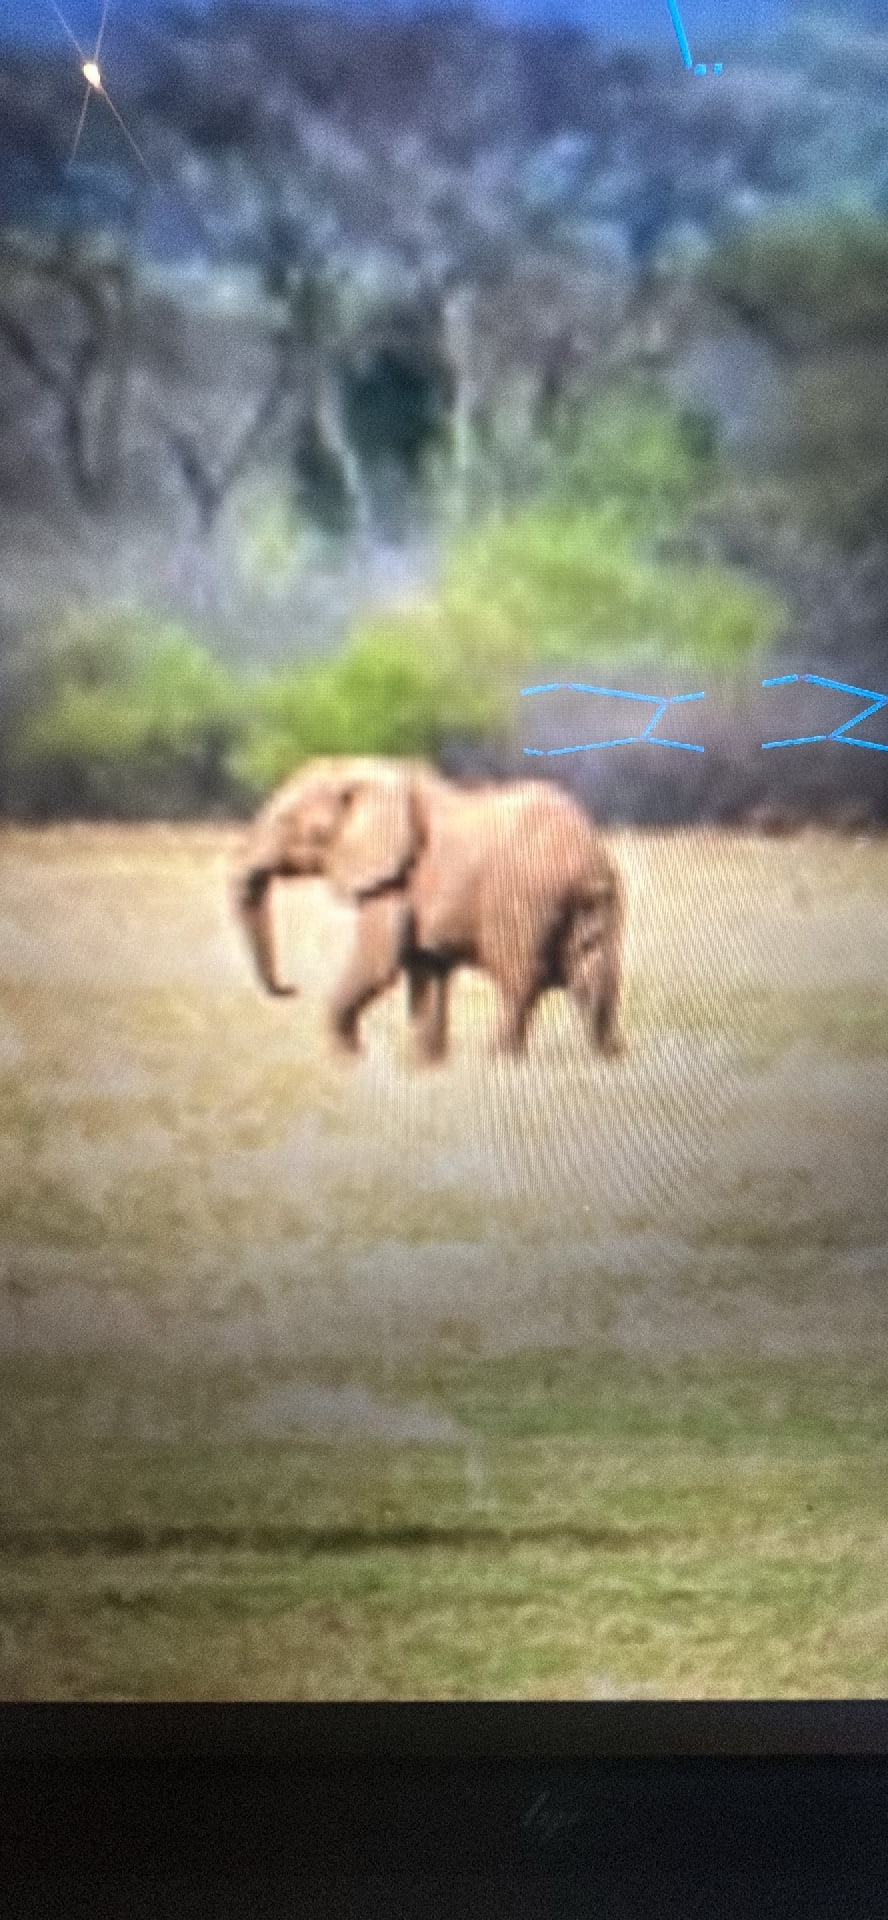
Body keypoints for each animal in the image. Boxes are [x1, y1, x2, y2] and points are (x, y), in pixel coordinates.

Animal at [233, 755, 625, 1065]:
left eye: (285, 822)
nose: (291, 989)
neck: (359, 769)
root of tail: (588, 855)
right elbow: (427, 968)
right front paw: (426, 1065)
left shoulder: (393, 881)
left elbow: (379, 963)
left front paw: (346, 1061)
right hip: (596, 901)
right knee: (596, 972)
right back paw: (608, 1057)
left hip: (524, 900)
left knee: (521, 977)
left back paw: (497, 1059)